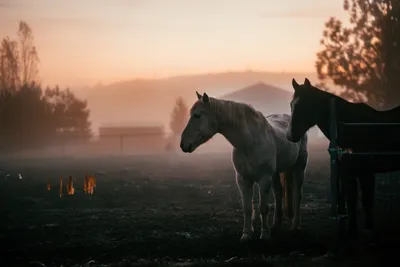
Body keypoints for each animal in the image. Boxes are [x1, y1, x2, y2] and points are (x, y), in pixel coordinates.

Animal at [180, 93, 308, 244]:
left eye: (197, 115)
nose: (183, 144)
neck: (250, 142)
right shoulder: (243, 179)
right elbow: (247, 208)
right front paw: (247, 234)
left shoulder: (264, 179)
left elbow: (263, 207)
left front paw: (264, 235)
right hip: (276, 174)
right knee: (279, 194)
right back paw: (275, 226)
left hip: (298, 168)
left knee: (297, 195)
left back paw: (296, 227)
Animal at [286, 78, 400, 238]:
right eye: (292, 104)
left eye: (305, 105)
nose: (290, 135)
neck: (350, 127)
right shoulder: (345, 172)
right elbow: (349, 200)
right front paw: (351, 230)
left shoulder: (365, 172)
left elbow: (365, 199)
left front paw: (368, 228)